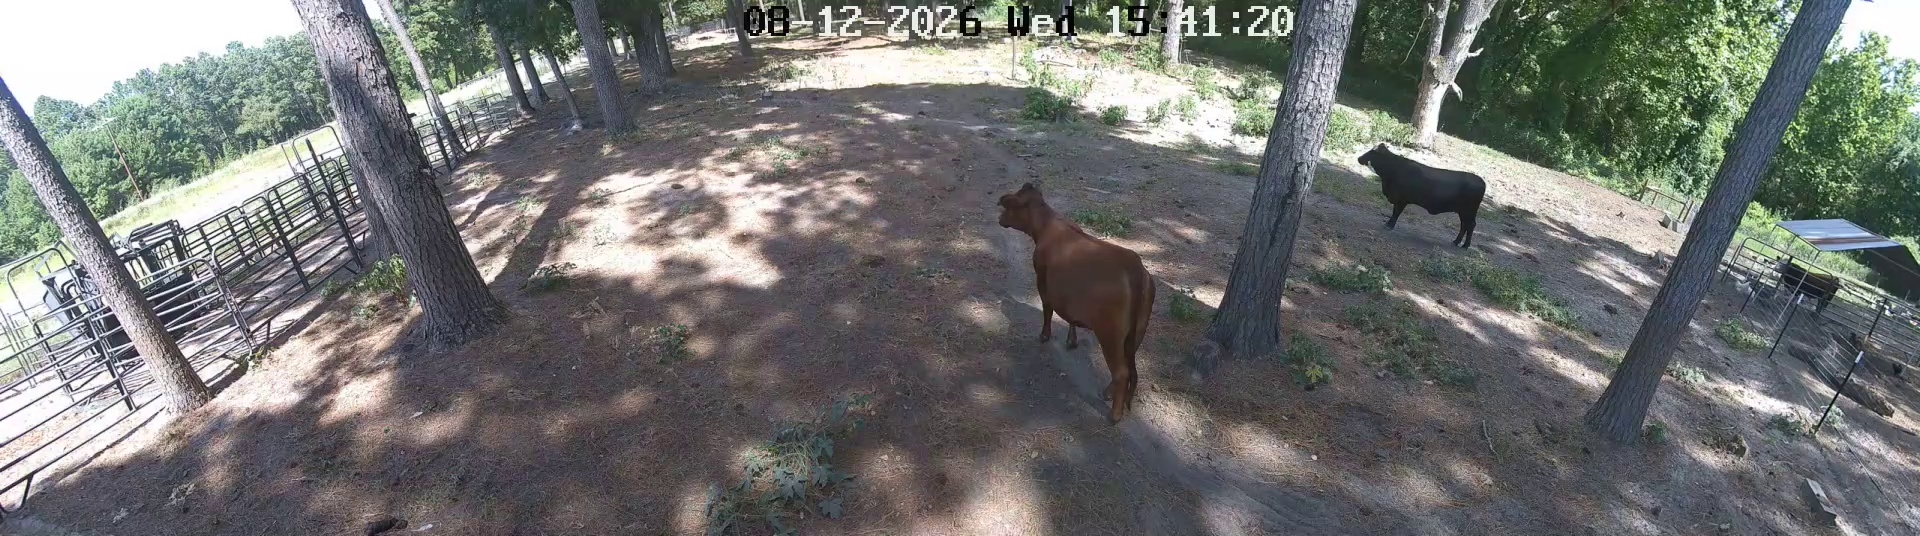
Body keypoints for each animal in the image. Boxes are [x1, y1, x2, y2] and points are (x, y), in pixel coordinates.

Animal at [998, 183, 1155, 423]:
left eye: (1009, 204)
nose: (999, 218)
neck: (1048, 225)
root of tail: (1135, 268)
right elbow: (1069, 316)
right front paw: (1071, 340)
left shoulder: (1043, 281)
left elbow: (1047, 309)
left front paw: (1044, 336)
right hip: (1137, 332)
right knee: (1127, 366)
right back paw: (1108, 393)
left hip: (1109, 333)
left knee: (1121, 372)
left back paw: (1115, 415)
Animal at [1356, 144, 1487, 248]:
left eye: (1372, 152)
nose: (1359, 158)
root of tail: (1481, 181)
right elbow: (1394, 212)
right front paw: (1388, 224)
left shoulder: (1401, 199)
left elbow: (1396, 213)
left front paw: (1389, 225)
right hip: (1463, 212)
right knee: (1464, 225)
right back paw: (1456, 241)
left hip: (1468, 211)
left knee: (1470, 225)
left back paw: (1465, 245)